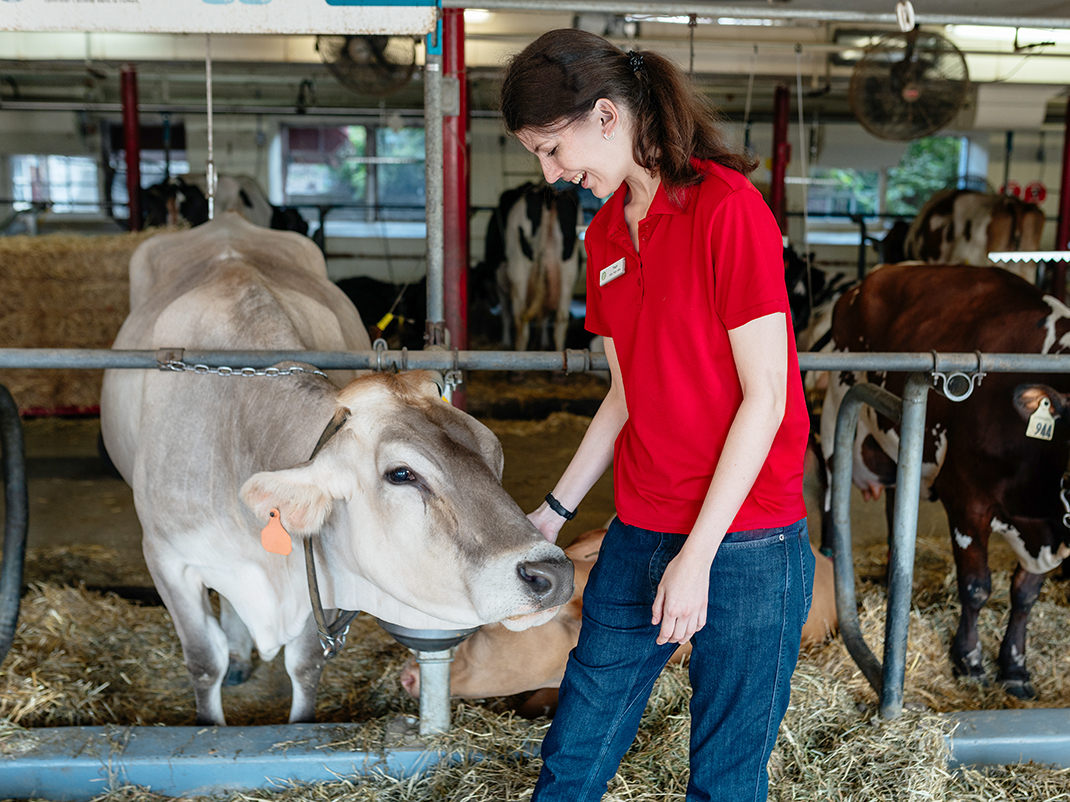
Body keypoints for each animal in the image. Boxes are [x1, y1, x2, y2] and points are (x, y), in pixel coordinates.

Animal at [817, 261, 1070, 697]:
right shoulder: (966, 498)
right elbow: (976, 586)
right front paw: (968, 661)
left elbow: (1025, 595)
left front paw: (1014, 667)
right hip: (836, 409)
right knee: (833, 495)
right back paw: (831, 557)